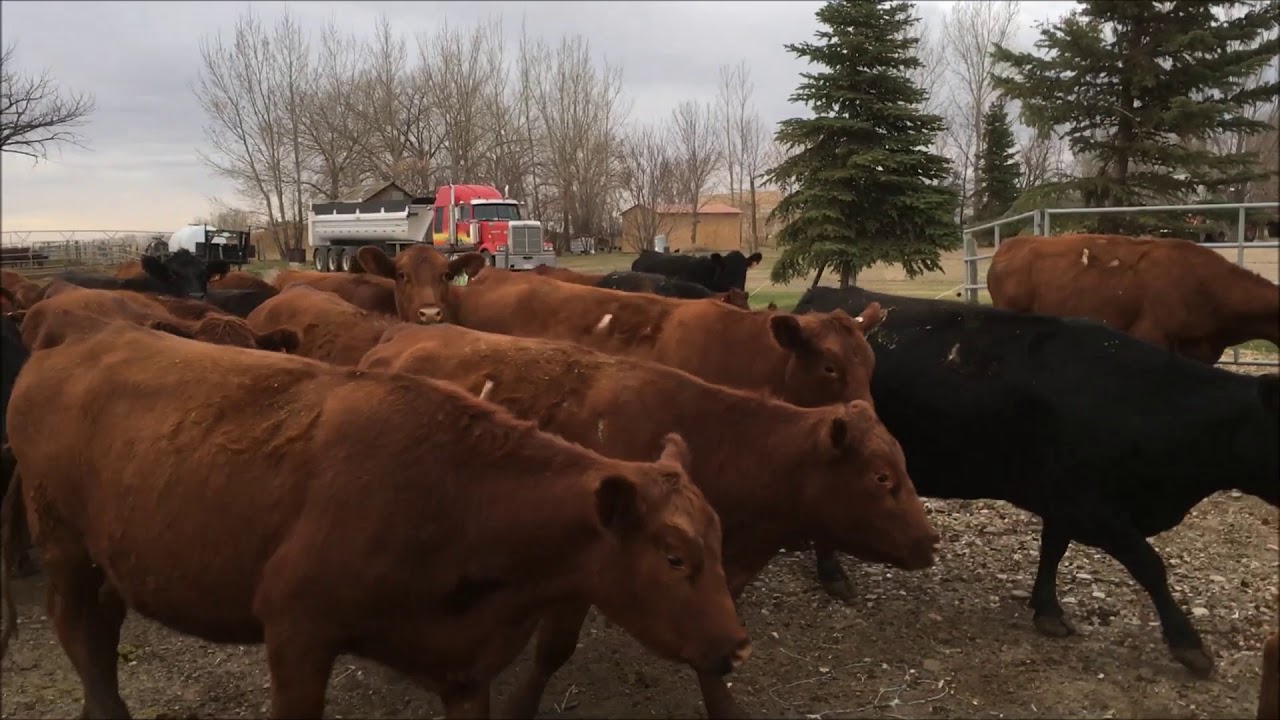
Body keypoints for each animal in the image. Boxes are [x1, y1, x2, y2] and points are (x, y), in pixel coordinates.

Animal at [0, 321, 749, 718]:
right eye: (675, 557)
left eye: (720, 546)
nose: (736, 647)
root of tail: (81, 337)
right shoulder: (295, 631)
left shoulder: (466, 669)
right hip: (63, 547)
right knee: (79, 633)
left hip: (108, 559)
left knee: (101, 631)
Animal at [793, 285, 1279, 677]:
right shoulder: (1094, 507)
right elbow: (1150, 565)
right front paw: (1188, 645)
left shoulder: (1061, 499)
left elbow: (1053, 549)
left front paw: (1046, 609)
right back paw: (832, 573)